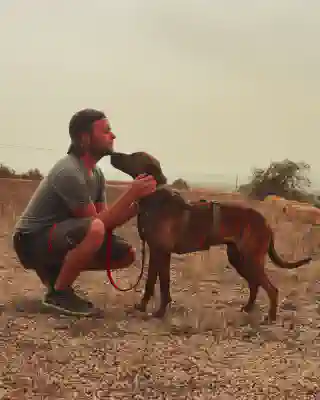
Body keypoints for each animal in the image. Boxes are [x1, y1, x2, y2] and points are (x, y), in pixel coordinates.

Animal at [110, 150, 312, 322]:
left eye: (133, 155)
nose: (112, 154)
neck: (154, 198)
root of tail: (266, 222)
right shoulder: (156, 252)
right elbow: (151, 283)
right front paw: (143, 306)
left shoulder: (161, 252)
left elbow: (163, 284)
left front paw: (159, 312)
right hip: (238, 258)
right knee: (255, 284)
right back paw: (248, 308)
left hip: (250, 259)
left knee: (271, 288)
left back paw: (270, 317)